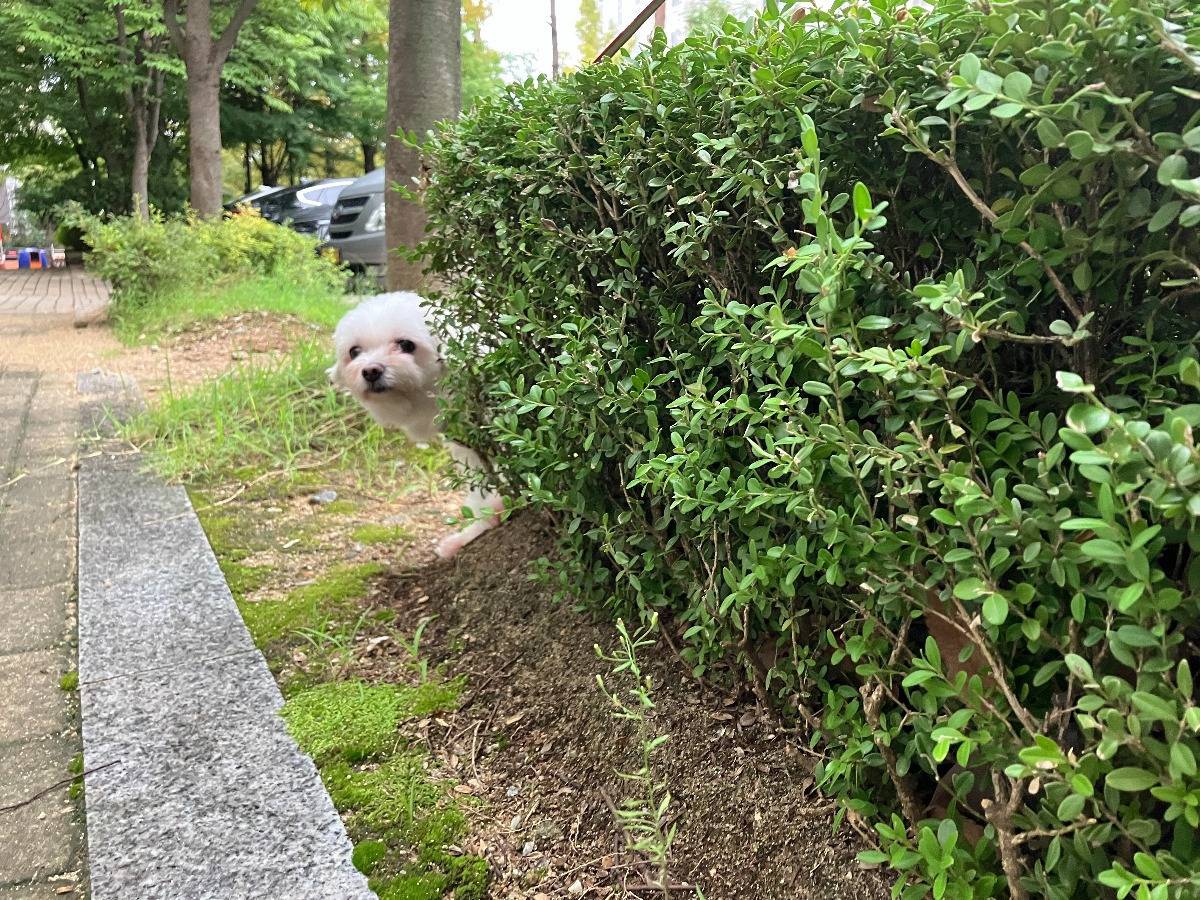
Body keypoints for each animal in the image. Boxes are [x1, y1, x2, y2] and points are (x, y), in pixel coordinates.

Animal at [328, 292, 501, 561]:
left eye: (406, 345)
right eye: (354, 351)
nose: (371, 371)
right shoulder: (471, 449)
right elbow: (482, 486)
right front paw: (478, 526)